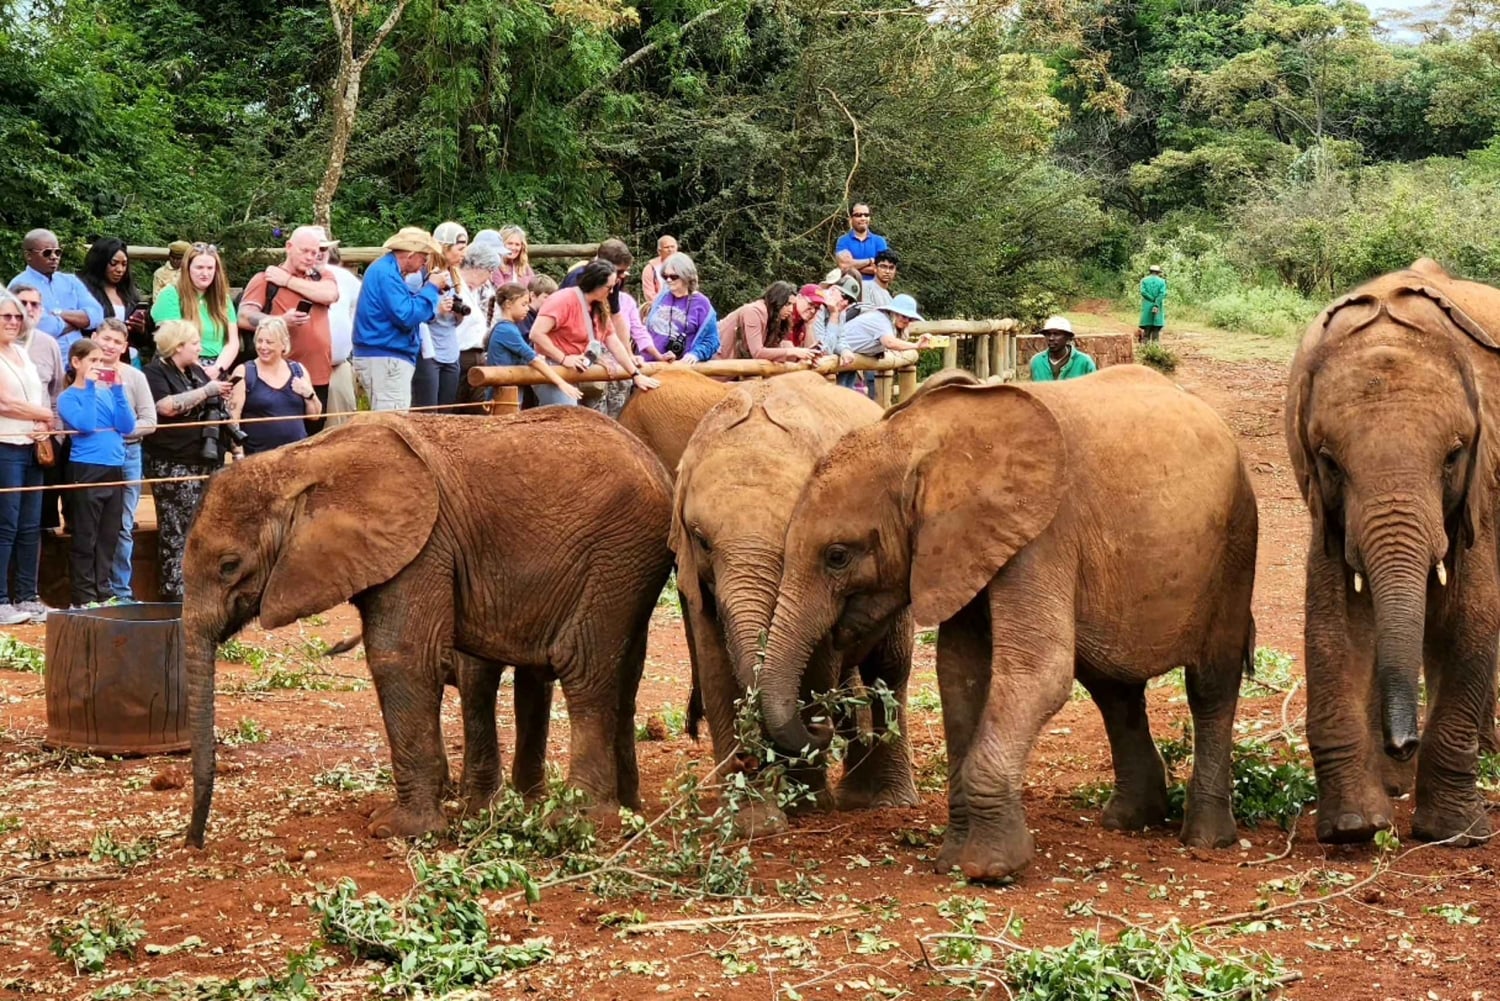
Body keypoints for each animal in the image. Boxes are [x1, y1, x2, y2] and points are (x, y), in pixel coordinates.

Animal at [183, 409, 674, 847]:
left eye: (229, 566)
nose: (195, 842)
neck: (303, 460)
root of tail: (657, 464)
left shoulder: (423, 548)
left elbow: (401, 658)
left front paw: (398, 831)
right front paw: (457, 810)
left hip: (616, 554)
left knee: (583, 669)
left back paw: (577, 822)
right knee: (618, 675)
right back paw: (623, 811)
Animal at [671, 371, 918, 828]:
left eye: (790, 538)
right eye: (702, 541)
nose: (751, 761)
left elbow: (817, 667)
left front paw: (807, 805)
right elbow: (715, 667)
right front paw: (750, 820)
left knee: (889, 670)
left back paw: (886, 800)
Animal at [759, 365, 1259, 881]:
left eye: (837, 556)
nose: (823, 723)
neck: (921, 440)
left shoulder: (1042, 535)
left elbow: (1038, 670)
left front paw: (990, 868)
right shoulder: (964, 545)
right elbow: (959, 674)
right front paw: (952, 862)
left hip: (1236, 543)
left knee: (1209, 685)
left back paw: (1205, 839)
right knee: (1112, 688)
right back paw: (1129, 821)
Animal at [1286, 258, 1500, 846]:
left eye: (1453, 456)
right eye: (1330, 462)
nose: (1401, 743)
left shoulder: (1482, 484)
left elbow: (1472, 615)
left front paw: (1456, 834)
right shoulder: (1328, 510)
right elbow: (1334, 620)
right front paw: (1354, 827)